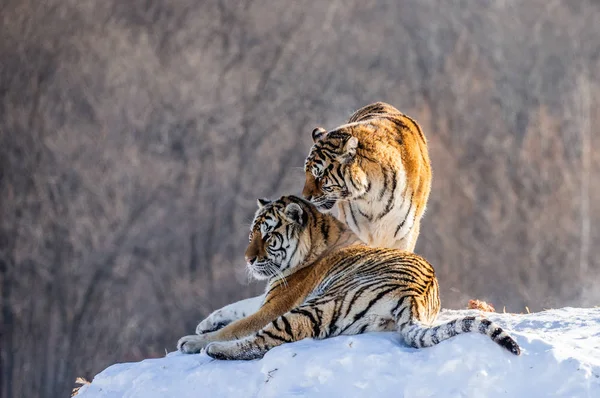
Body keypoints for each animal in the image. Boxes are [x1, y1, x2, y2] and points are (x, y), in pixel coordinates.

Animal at [176, 196, 516, 360]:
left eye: (268, 236)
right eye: (251, 235)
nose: (247, 259)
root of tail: (415, 295)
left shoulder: (277, 303)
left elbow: (238, 324)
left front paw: (197, 337)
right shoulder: (269, 295)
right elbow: (235, 306)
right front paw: (205, 323)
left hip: (318, 304)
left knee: (269, 338)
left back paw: (210, 349)